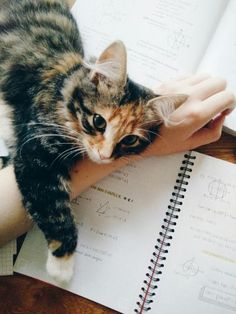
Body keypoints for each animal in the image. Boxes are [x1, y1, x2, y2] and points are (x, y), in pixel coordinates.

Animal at [0, 0, 187, 280]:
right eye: (99, 122)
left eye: (130, 140)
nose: (106, 155)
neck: (65, 86)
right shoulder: (34, 151)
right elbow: (53, 207)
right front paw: (62, 265)